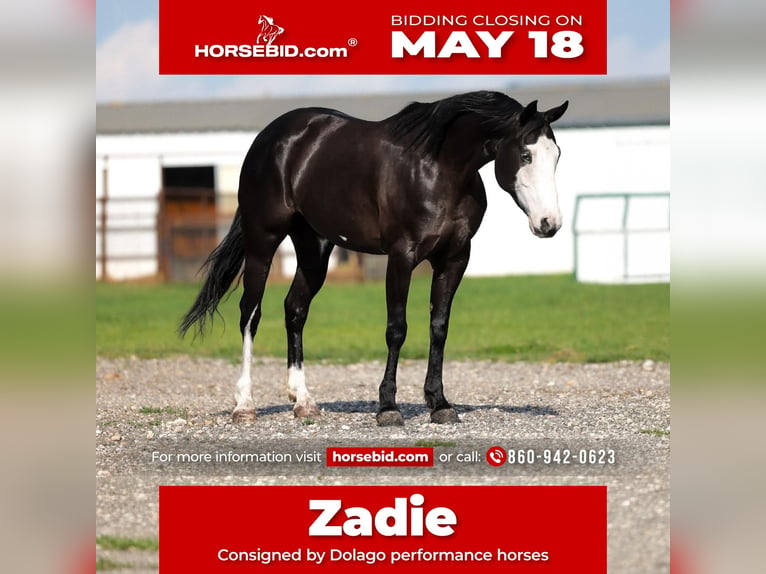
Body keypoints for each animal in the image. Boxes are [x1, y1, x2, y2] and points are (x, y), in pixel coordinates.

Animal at [179, 91, 568, 426]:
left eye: (557, 155)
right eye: (526, 155)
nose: (549, 223)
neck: (438, 170)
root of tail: (271, 137)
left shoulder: (455, 259)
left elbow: (439, 328)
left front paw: (440, 404)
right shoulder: (400, 257)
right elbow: (397, 329)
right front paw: (388, 407)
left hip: (314, 247)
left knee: (295, 309)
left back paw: (303, 401)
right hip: (263, 240)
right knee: (251, 312)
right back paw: (244, 404)